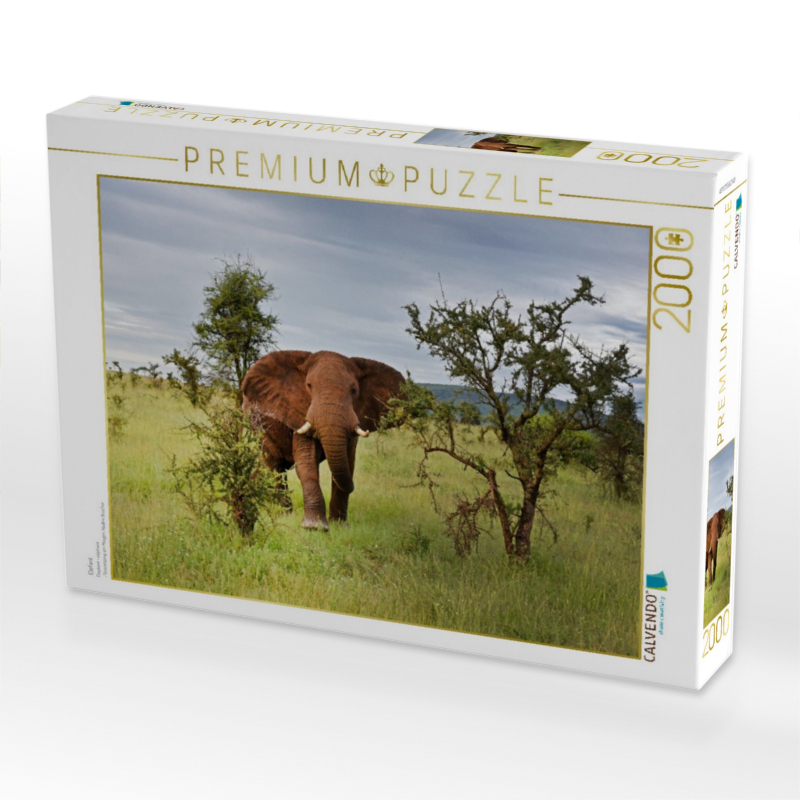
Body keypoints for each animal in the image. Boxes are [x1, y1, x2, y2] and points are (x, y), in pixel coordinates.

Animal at [242, 350, 405, 531]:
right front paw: (314, 527)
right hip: (258, 426)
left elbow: (348, 462)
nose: (353, 487)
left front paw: (340, 526)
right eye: (309, 386)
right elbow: (307, 463)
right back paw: (284, 514)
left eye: (354, 390)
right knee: (275, 467)